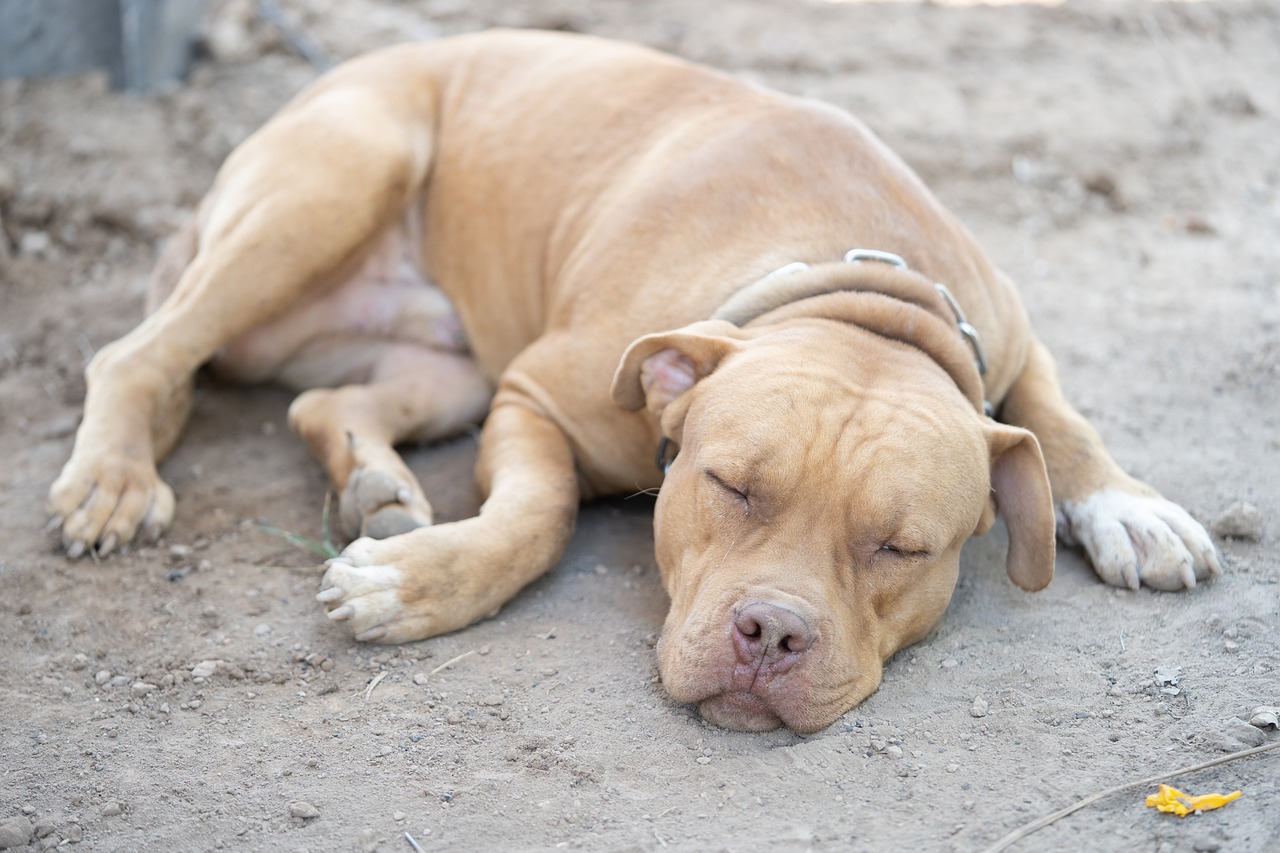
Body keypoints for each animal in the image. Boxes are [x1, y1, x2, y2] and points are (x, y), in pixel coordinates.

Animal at [47, 31, 1218, 732]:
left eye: (900, 548)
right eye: (729, 486)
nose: (773, 634)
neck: (860, 294)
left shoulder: (1006, 337)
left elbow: (1055, 421)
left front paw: (1131, 505)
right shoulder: (535, 395)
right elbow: (541, 513)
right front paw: (415, 584)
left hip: (445, 360)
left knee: (320, 397)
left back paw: (378, 489)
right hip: (332, 183)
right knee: (140, 355)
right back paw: (114, 479)